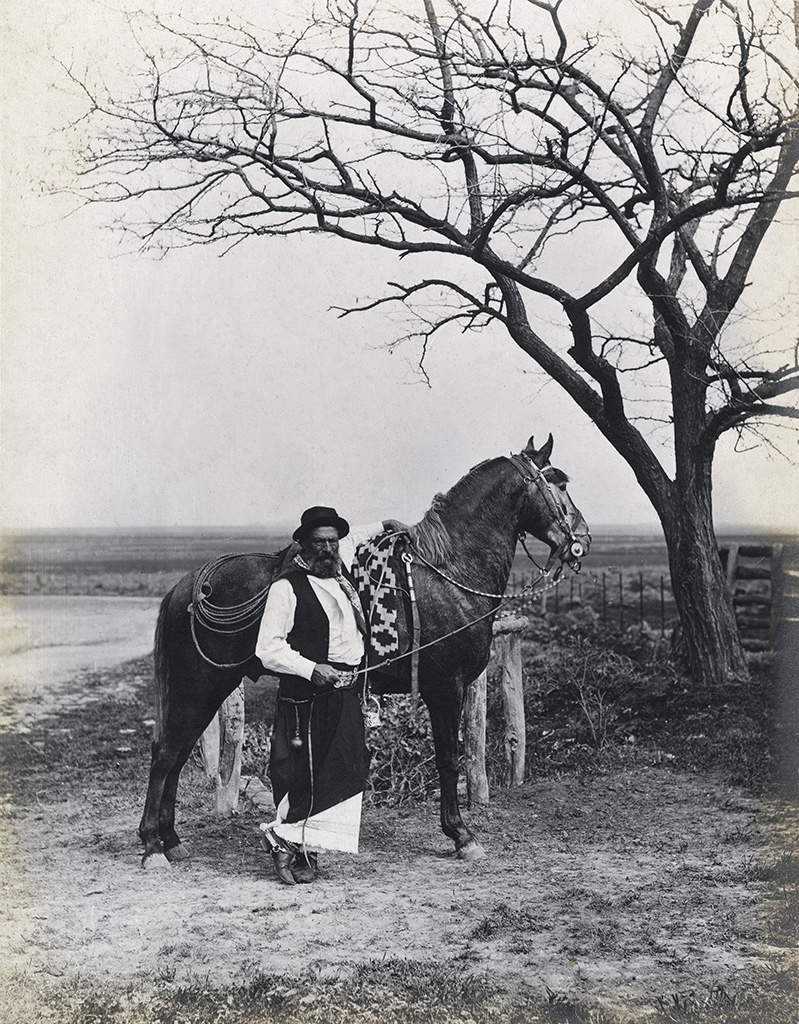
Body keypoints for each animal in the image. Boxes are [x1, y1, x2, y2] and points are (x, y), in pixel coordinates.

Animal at [139, 433, 590, 867]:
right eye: (559, 483)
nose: (581, 539)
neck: (451, 572)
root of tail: (187, 587)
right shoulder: (447, 687)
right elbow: (450, 758)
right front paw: (462, 835)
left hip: (206, 691)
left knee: (176, 754)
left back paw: (172, 841)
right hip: (199, 687)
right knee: (167, 754)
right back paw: (153, 846)